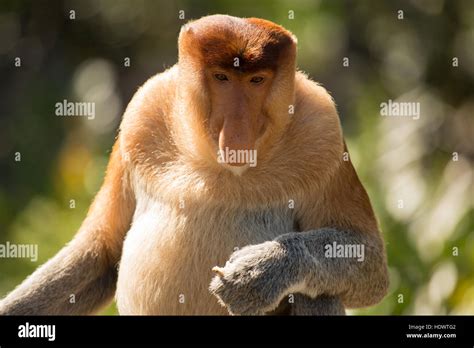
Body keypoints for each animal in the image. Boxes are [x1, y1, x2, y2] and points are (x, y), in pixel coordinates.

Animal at [0, 14, 386, 316]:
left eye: (256, 80)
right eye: (222, 78)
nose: (237, 132)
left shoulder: (324, 133)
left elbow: (368, 259)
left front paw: (259, 272)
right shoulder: (141, 114)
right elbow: (101, 252)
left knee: (317, 293)